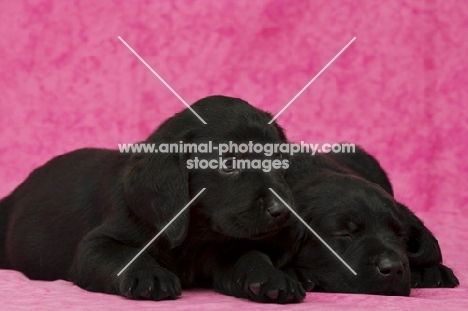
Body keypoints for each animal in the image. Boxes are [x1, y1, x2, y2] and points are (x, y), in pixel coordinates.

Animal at [0, 95, 300, 302]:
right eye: (228, 163)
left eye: (279, 160)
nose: (283, 211)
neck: (194, 235)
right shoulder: (93, 246)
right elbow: (125, 254)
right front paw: (149, 274)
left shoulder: (222, 248)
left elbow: (251, 253)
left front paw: (271, 275)